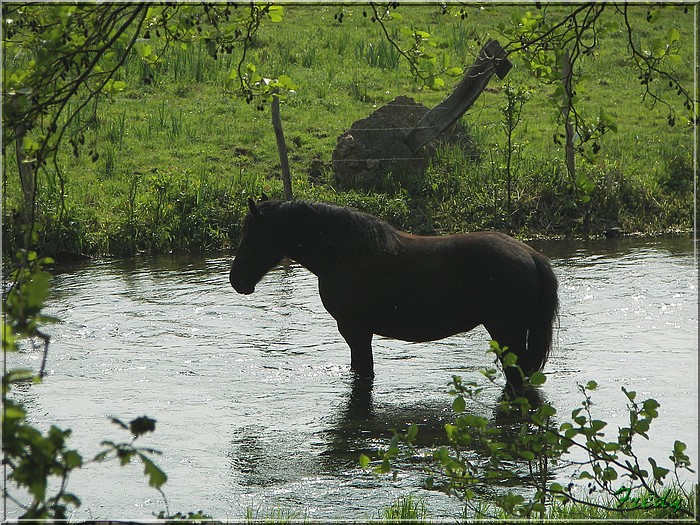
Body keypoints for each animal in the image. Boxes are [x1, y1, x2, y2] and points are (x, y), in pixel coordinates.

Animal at [230, 199, 556, 390]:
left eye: (253, 236)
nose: (236, 280)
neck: (344, 255)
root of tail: (530, 255)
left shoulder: (356, 331)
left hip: (506, 332)